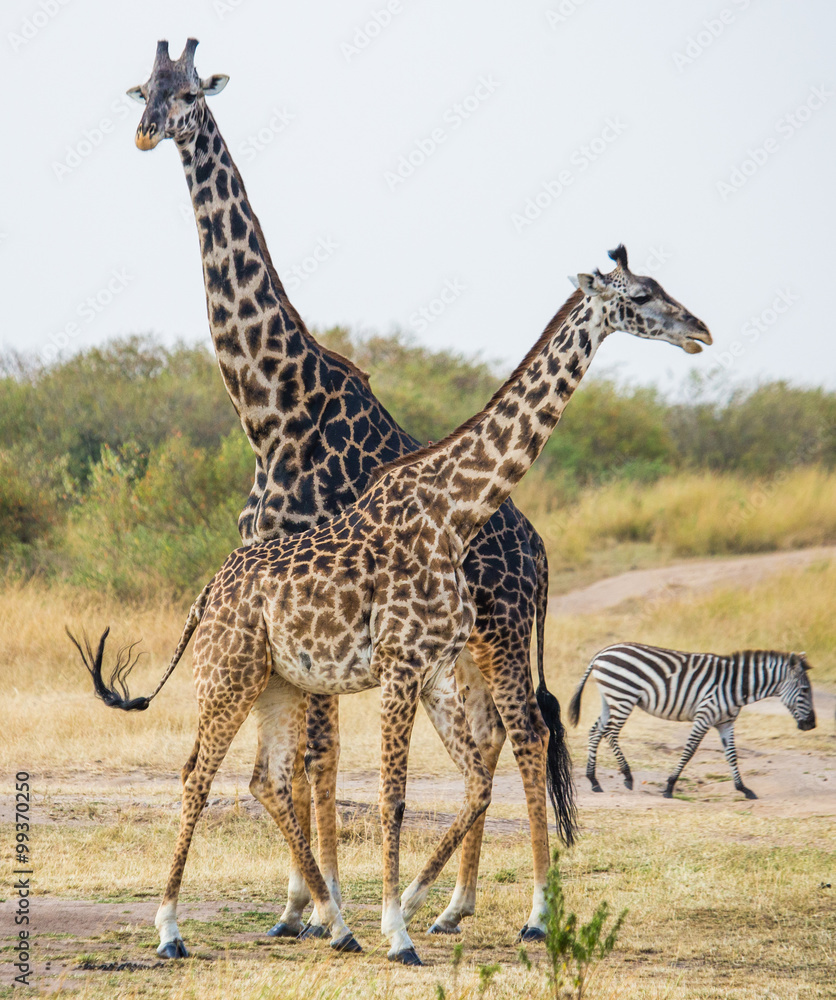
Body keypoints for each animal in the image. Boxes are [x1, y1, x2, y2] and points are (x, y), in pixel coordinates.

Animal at [71, 245, 711, 965]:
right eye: (641, 295)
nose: (700, 330)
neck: (454, 511)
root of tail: (209, 591)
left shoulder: (425, 667)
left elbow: (451, 780)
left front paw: (397, 913)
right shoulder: (400, 667)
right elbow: (392, 796)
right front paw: (398, 931)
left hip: (280, 681)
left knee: (270, 778)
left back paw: (340, 922)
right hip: (229, 675)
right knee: (195, 774)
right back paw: (171, 930)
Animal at [126, 37, 574, 940]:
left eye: (190, 93)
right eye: (141, 88)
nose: (148, 131)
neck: (272, 409)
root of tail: (540, 551)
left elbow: (317, 754)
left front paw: (326, 909)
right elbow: (302, 757)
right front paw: (301, 907)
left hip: (502, 632)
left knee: (527, 733)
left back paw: (524, 913)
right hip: (463, 652)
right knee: (488, 740)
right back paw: (453, 904)